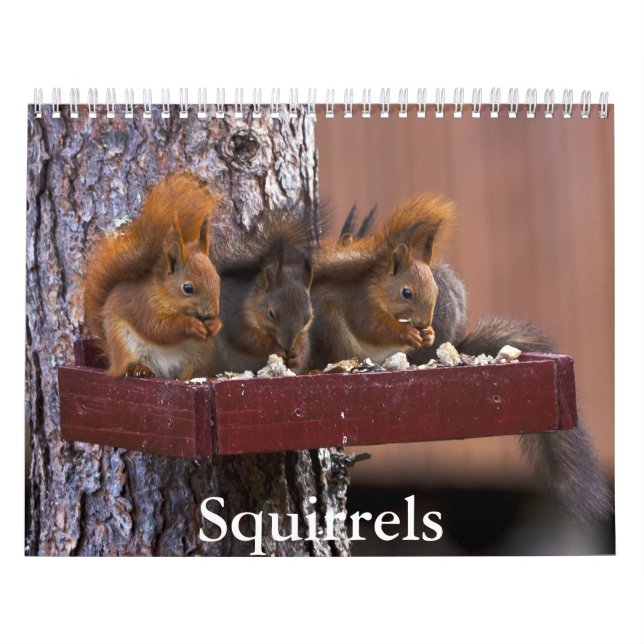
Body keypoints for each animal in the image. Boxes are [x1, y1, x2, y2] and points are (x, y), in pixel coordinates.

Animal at [83, 172, 222, 379]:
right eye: (187, 288)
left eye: (218, 279)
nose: (211, 314)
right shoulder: (144, 304)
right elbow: (157, 328)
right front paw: (190, 325)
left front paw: (215, 325)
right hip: (123, 343)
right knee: (130, 364)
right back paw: (140, 370)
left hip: (201, 353)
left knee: (192, 370)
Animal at [211, 205, 316, 374]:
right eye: (271, 314)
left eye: (307, 318)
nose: (288, 346)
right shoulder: (235, 319)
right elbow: (250, 342)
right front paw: (275, 349)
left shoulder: (303, 333)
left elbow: (303, 342)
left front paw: (296, 354)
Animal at [308, 194, 454, 368]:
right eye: (406, 293)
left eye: (436, 290)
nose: (423, 324)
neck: (378, 290)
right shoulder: (360, 303)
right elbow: (373, 328)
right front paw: (408, 333)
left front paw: (430, 334)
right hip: (332, 327)